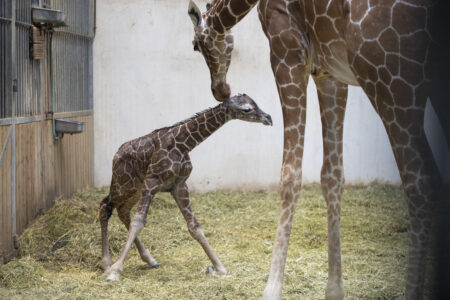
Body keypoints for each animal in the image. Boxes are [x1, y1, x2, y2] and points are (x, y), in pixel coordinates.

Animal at [100, 94, 272, 282]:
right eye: (247, 109)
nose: (268, 118)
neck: (183, 144)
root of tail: (115, 156)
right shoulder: (152, 181)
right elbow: (138, 222)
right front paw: (115, 272)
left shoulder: (179, 185)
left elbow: (194, 227)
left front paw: (217, 268)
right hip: (125, 184)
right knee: (105, 206)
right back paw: (107, 265)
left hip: (135, 188)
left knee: (122, 211)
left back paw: (150, 260)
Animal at [187, 0, 442, 300]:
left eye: (195, 45)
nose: (220, 90)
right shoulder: (330, 73)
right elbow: (332, 177)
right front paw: (334, 289)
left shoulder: (286, 52)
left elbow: (290, 175)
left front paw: (272, 288)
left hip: (388, 78)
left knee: (421, 182)